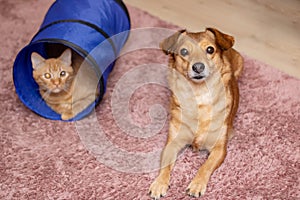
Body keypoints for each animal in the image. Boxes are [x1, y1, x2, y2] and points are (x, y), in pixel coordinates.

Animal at [149, 27, 243, 198]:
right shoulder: (172, 144)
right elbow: (165, 165)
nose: (198, 67)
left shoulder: (219, 149)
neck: (199, 97)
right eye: (184, 51)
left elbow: (205, 166)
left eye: (210, 49)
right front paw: (160, 183)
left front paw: (197, 184)